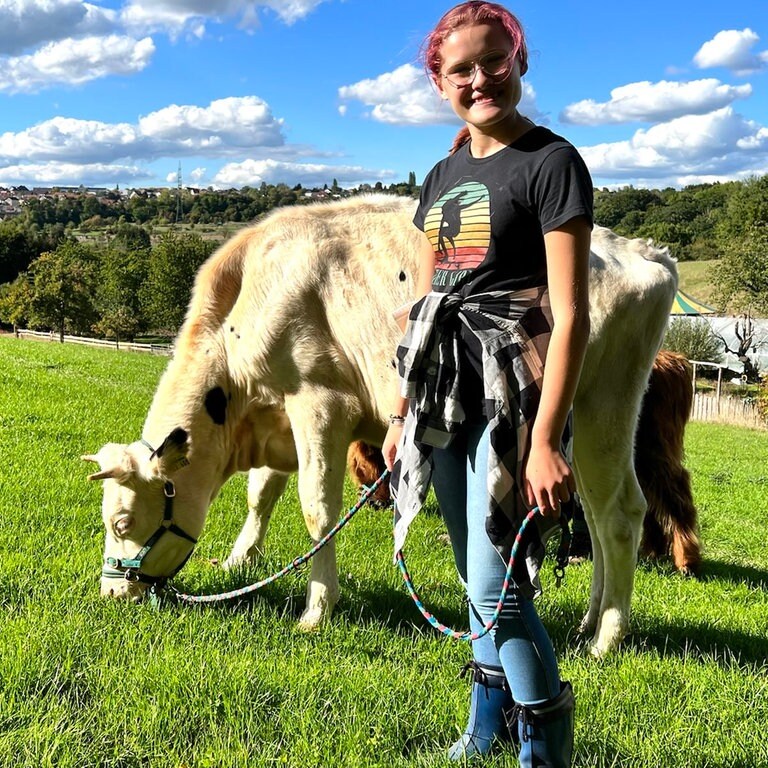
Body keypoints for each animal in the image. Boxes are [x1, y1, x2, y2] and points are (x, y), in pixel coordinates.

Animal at [346, 348, 704, 576]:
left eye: (360, 469)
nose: (372, 502)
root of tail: (674, 362)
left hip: (646, 448)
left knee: (673, 493)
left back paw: (686, 560)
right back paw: (653, 550)